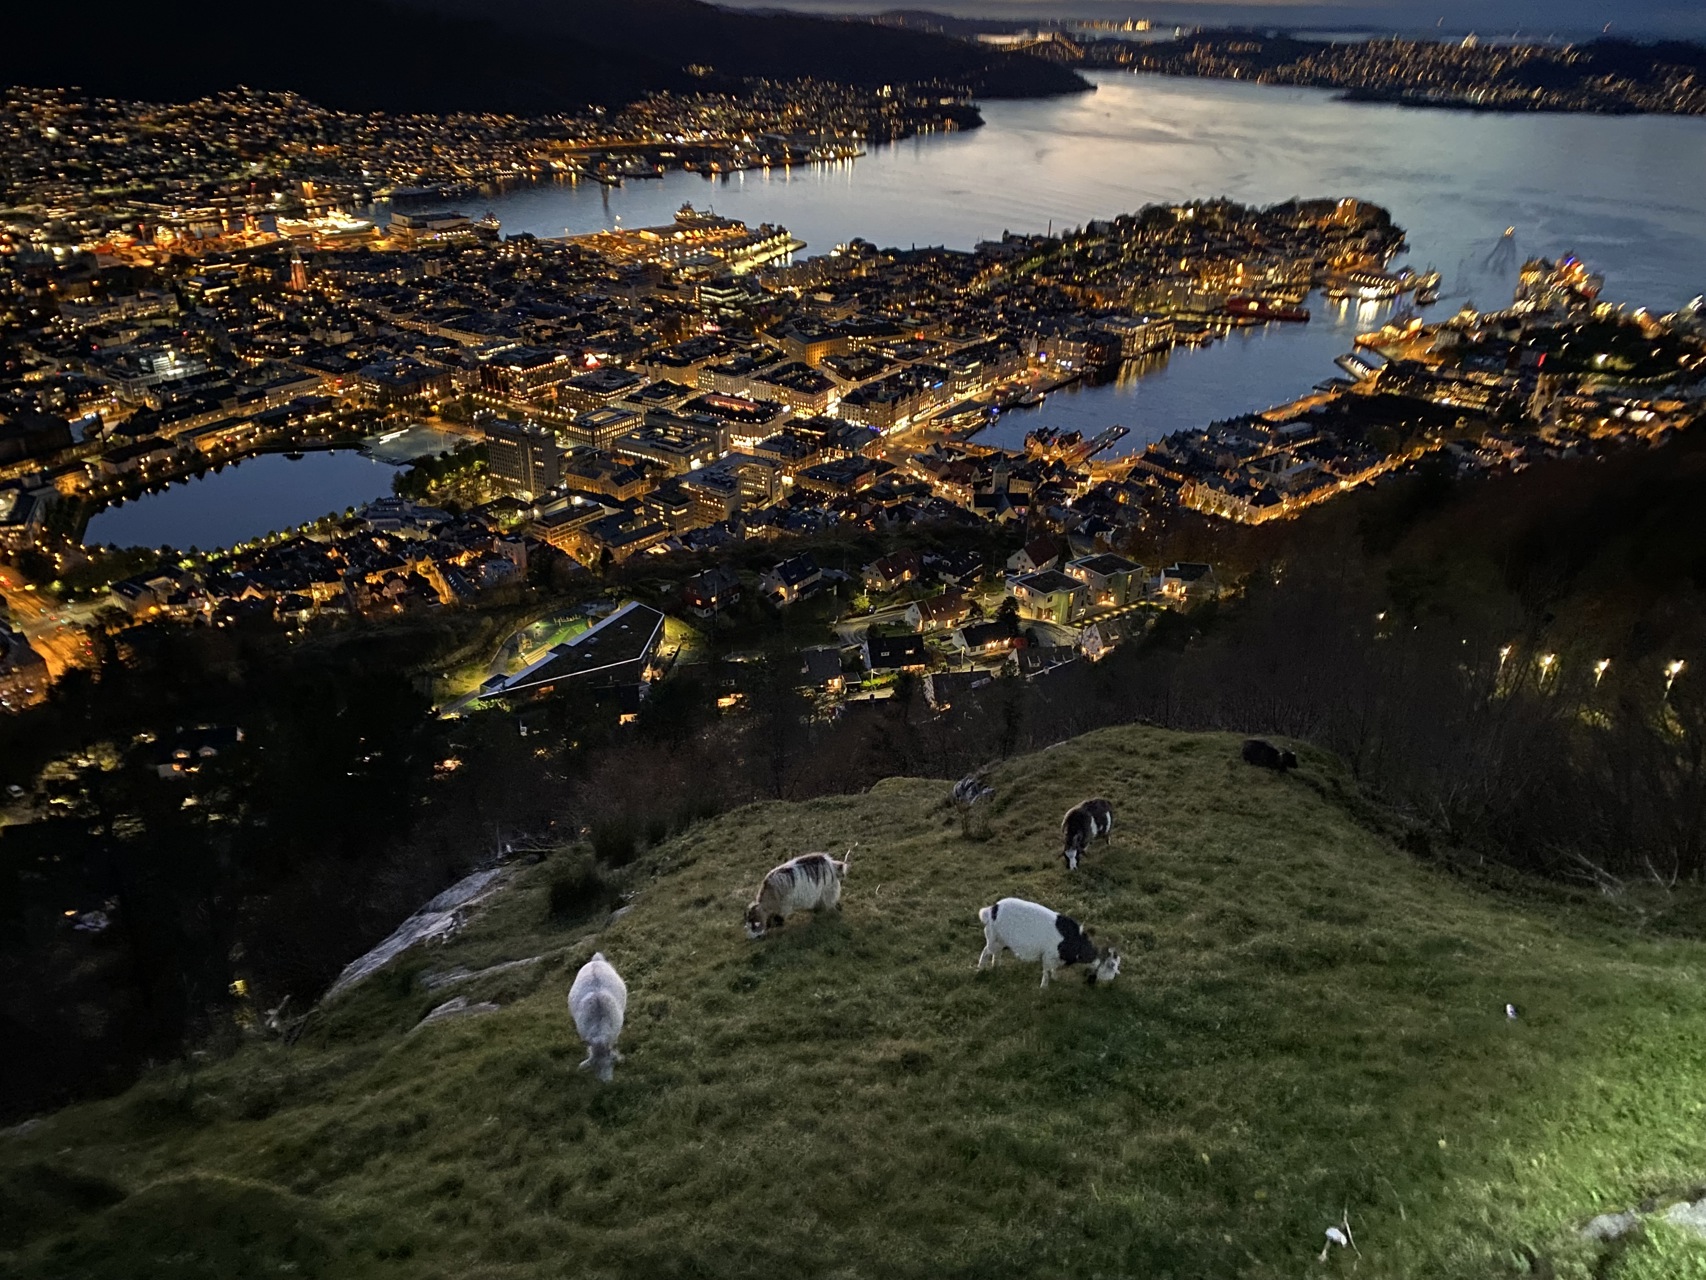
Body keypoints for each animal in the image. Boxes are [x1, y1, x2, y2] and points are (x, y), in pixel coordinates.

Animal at [975, 894, 1119, 989]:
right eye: (1112, 968)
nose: (1109, 984)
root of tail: (992, 910)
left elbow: (1053, 970)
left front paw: (1055, 978)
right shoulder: (1048, 956)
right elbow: (1046, 972)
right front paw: (1044, 988)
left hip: (1001, 942)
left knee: (996, 953)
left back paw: (996, 967)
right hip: (993, 939)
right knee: (986, 951)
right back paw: (980, 968)